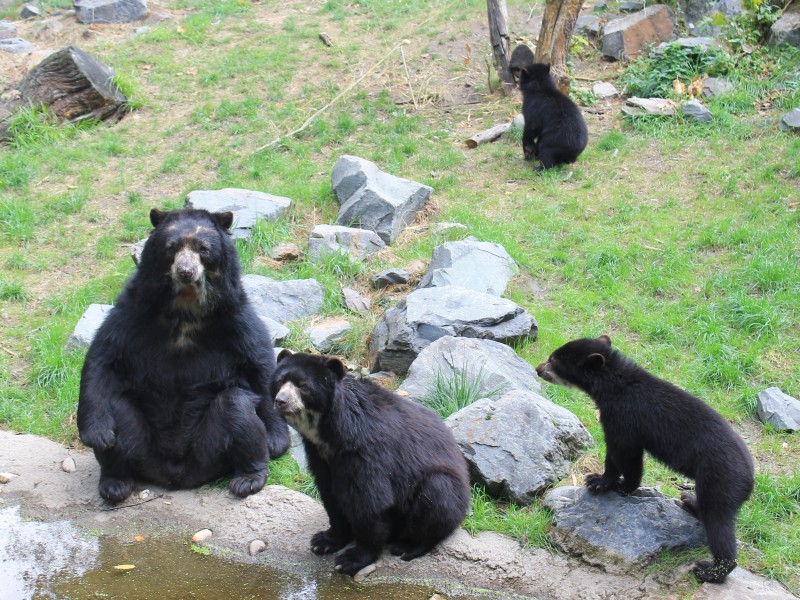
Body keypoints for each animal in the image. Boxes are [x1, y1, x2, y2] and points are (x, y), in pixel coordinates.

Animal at [77, 209, 290, 504]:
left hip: (209, 450)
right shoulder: (133, 311)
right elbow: (103, 359)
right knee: (117, 408)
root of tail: (177, 476)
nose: (186, 271)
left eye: (203, 249)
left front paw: (277, 441)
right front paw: (97, 435)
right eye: (172, 248)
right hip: (143, 448)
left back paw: (248, 479)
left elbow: (259, 364)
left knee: (236, 406)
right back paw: (115, 483)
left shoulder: (235, 316)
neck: (186, 309)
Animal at [270, 352, 468, 576]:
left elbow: (370, 499)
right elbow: (330, 493)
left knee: (436, 497)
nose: (281, 401)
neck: (329, 432)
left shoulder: (366, 449)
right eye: (280, 381)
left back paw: (408, 546)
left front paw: (353, 558)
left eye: (303, 386)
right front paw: (324, 541)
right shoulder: (319, 455)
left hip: (444, 490)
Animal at [536, 336, 752, 584]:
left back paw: (709, 570)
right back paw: (689, 499)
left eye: (554, 361)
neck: (614, 386)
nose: (538, 368)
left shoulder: (624, 416)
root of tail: (750, 480)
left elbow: (624, 453)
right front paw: (603, 480)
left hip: (719, 480)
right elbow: (617, 453)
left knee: (719, 523)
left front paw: (610, 484)